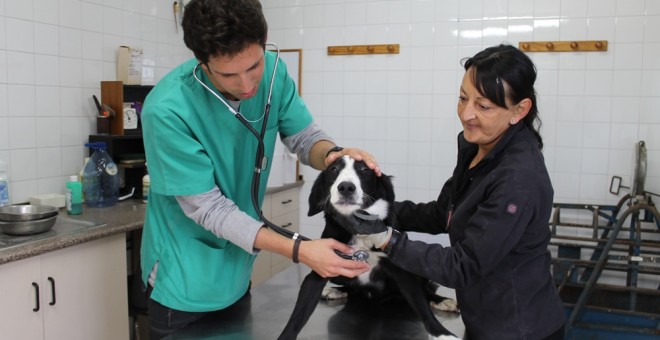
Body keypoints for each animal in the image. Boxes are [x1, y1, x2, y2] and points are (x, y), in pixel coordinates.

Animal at [278, 157, 458, 340]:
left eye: (364, 170)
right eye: (333, 169)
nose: (346, 187)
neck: (360, 234)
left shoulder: (401, 269)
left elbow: (421, 305)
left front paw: (443, 334)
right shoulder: (323, 265)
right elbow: (298, 315)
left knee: (425, 291)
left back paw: (442, 300)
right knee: (354, 289)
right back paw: (335, 291)